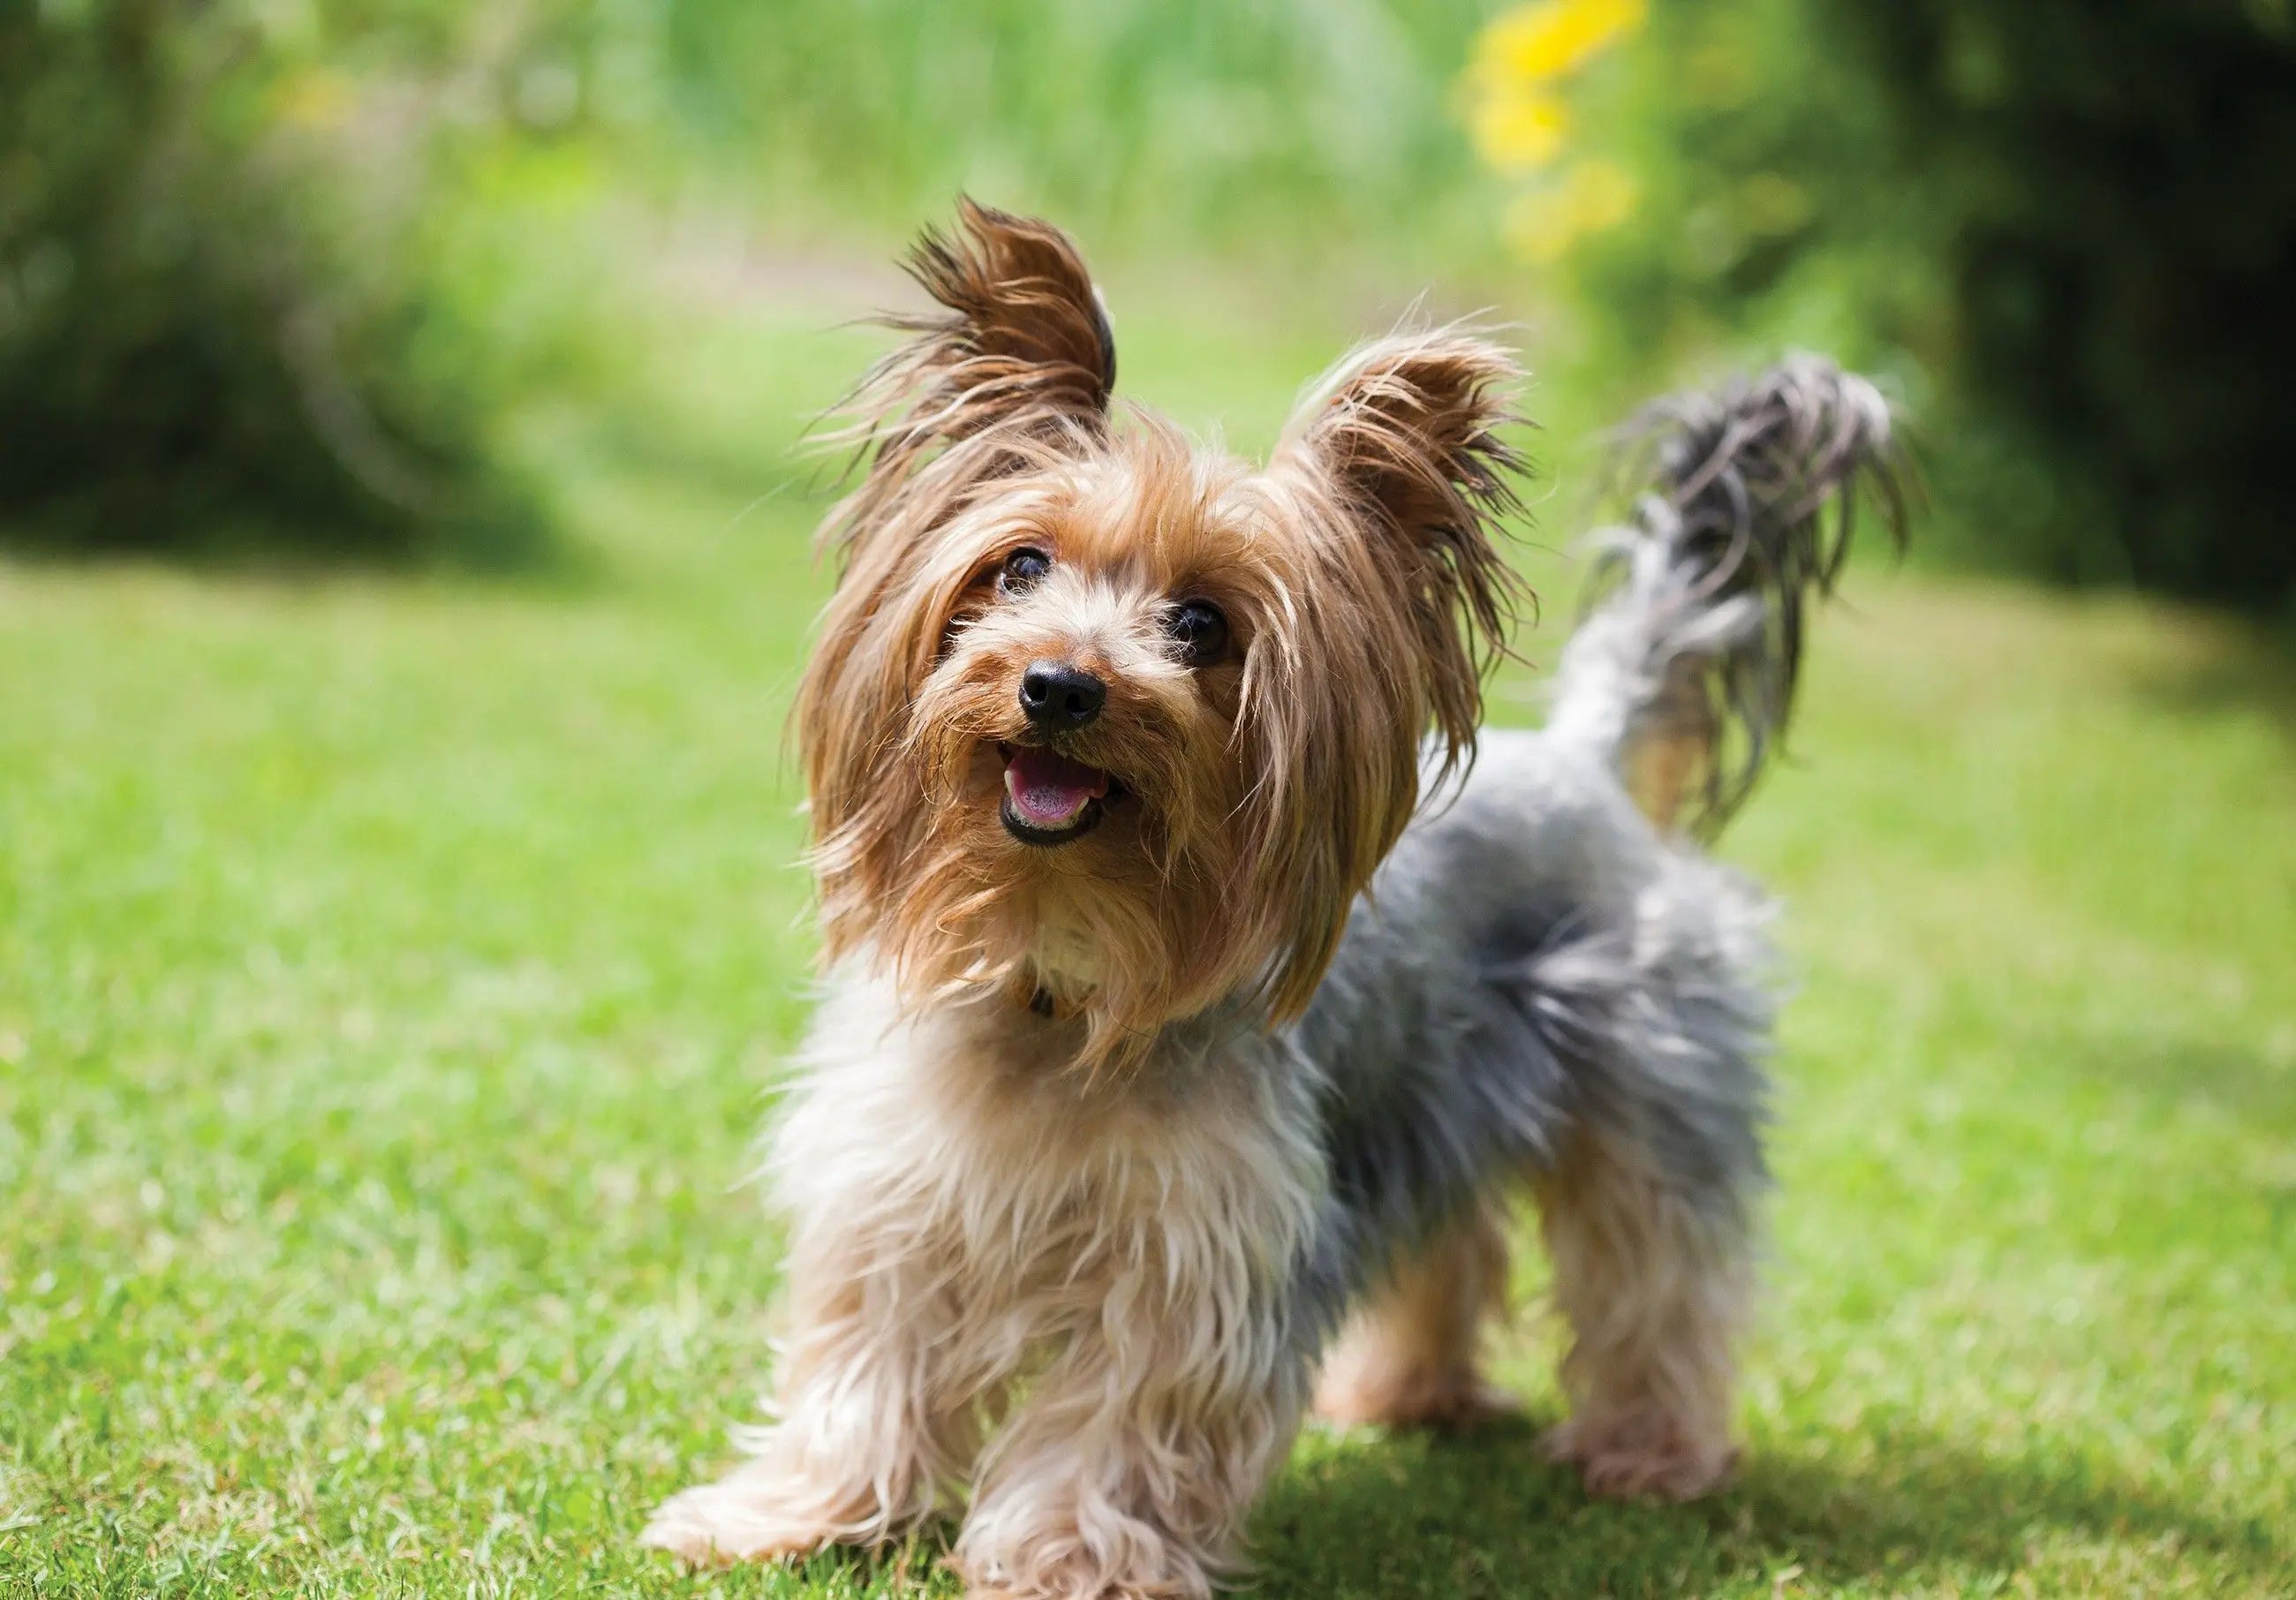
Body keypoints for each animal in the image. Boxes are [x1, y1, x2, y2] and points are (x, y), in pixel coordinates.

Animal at [647, 200, 1900, 1597]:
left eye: (1202, 625)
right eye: (1017, 568)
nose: (1060, 685)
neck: (1059, 964)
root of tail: (1586, 760)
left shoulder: (1197, 1247)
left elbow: (1120, 1415)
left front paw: (1072, 1559)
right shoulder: (897, 1196)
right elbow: (863, 1360)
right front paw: (788, 1516)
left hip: (1648, 1080)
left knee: (1657, 1272)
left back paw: (1650, 1452)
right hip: (1431, 1093)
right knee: (1453, 1241)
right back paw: (1407, 1395)